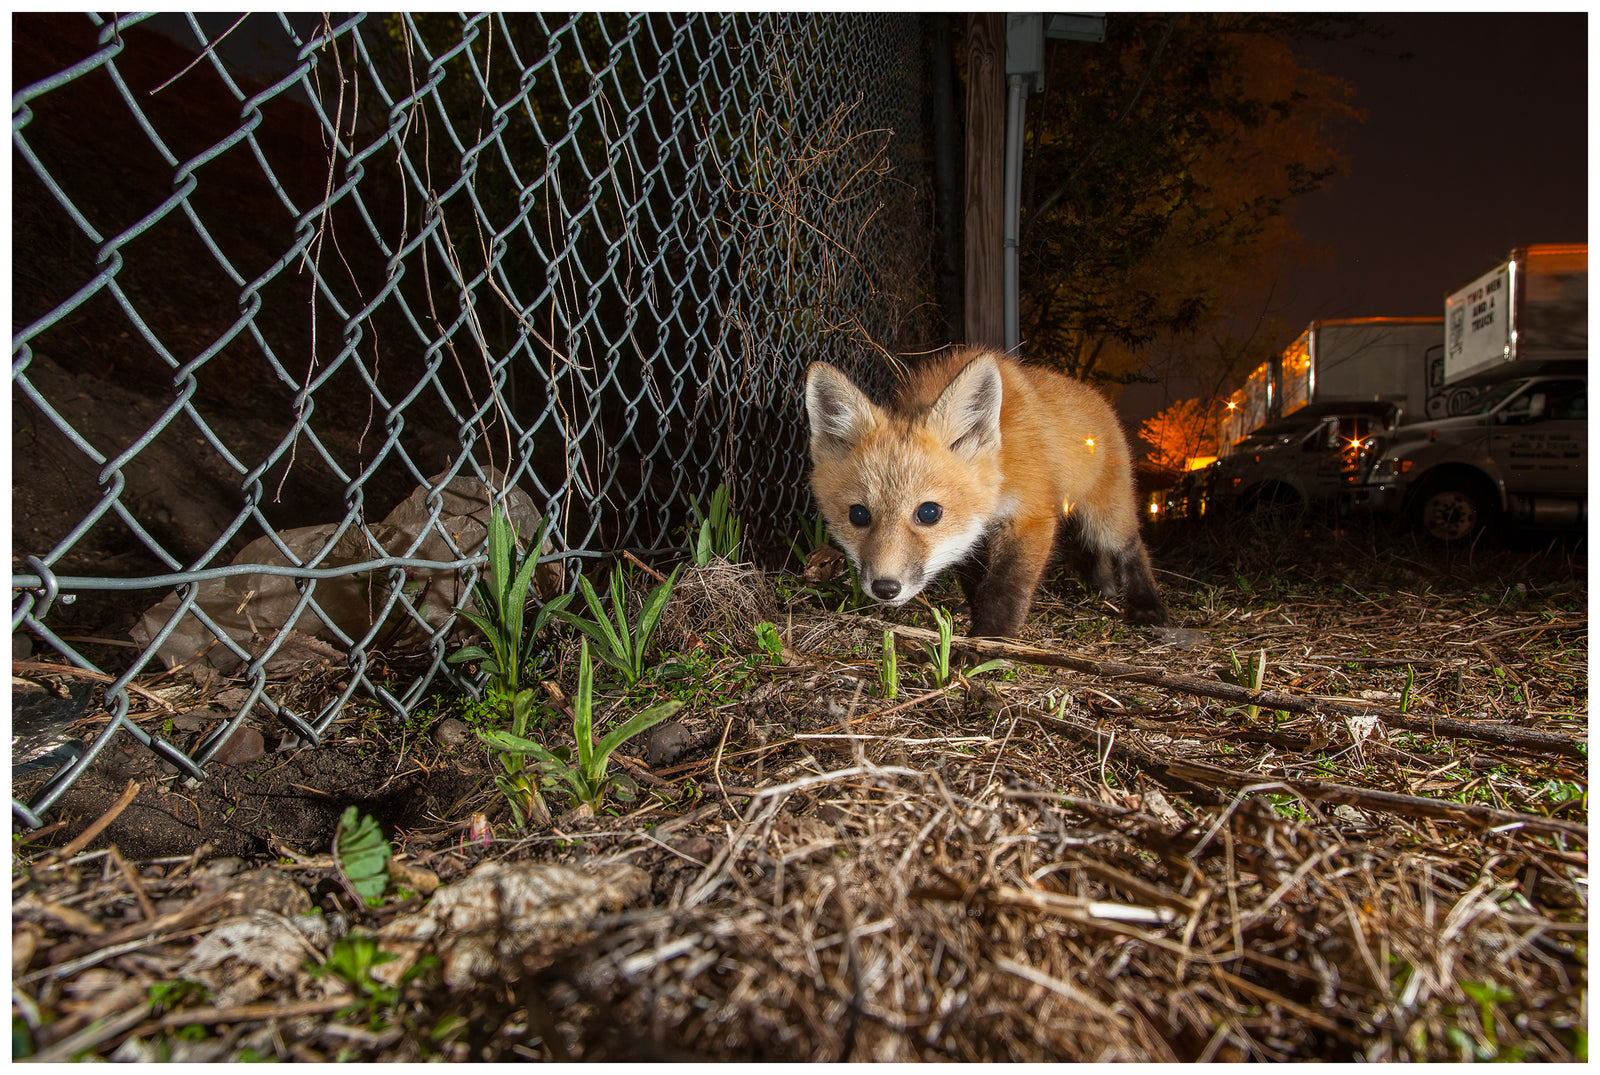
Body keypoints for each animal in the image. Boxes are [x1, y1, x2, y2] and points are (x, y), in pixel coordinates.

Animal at [804, 347, 1169, 638]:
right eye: (858, 515)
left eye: (928, 513)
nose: (885, 588)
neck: (1001, 468)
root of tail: (1096, 396)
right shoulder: (972, 530)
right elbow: (975, 575)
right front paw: (975, 610)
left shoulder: (1032, 514)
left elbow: (1007, 586)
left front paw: (989, 641)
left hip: (1104, 519)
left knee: (1131, 545)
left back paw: (1148, 605)